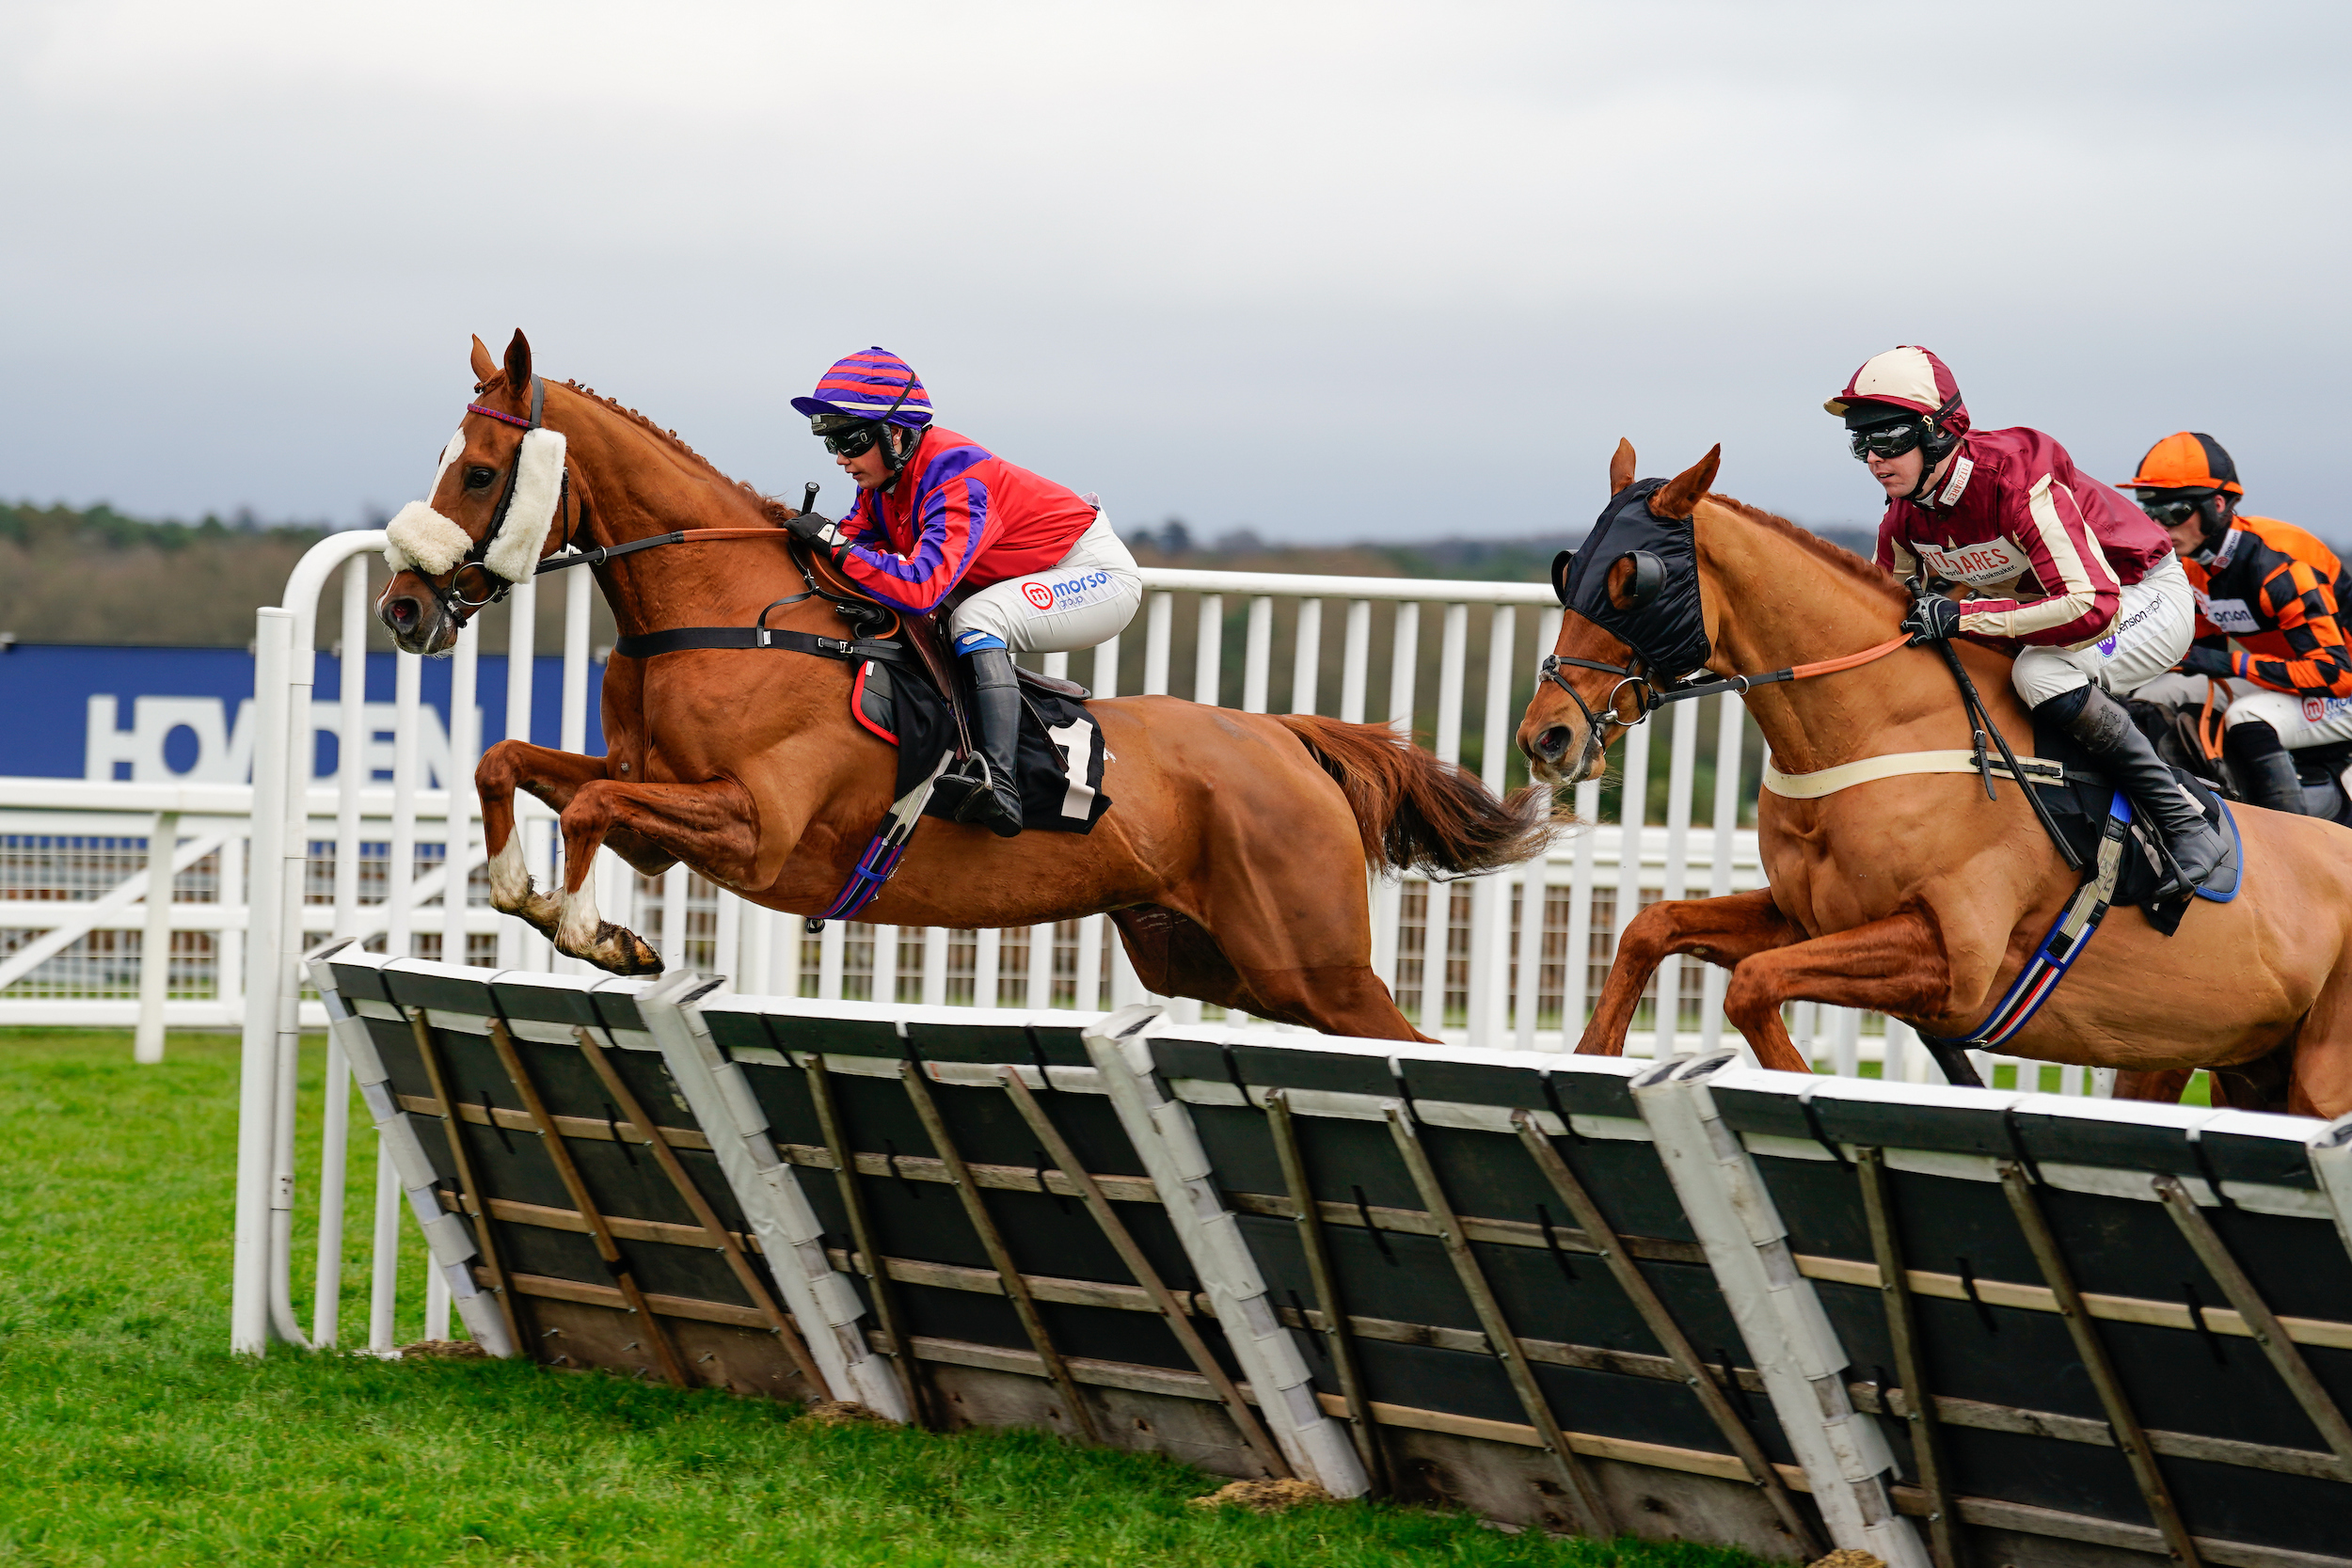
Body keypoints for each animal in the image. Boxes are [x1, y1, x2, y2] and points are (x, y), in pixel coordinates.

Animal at [372, 336, 1543, 1034]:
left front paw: (590, 931)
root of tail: (1287, 740)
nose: (402, 610)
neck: (725, 613)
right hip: (1222, 963)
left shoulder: (755, 828)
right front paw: (531, 896)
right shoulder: (657, 796)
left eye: (478, 471)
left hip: (1315, 962)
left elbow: (594, 808)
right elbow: (510, 762)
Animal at [1515, 441, 2352, 1114]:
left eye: (1634, 582)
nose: (1546, 736)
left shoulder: (1954, 963)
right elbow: (1652, 928)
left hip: (2312, 1077)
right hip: (2237, 1063)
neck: (1881, 728)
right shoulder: (1809, 917)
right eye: (1569, 571)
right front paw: (1590, 1060)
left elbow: (1752, 985)